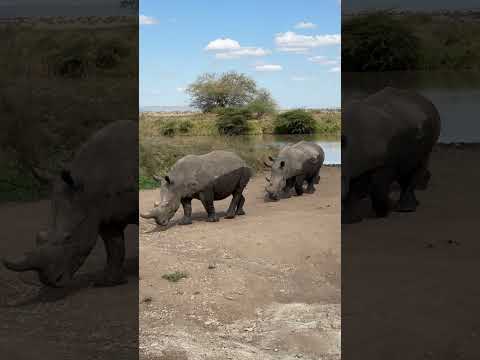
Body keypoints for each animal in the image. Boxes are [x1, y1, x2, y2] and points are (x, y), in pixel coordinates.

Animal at [3, 120, 139, 286]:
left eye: (68, 238)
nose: (51, 282)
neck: (89, 185)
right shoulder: (103, 214)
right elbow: (113, 245)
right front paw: (108, 282)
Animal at [344, 87, 440, 222]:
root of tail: (425, 100)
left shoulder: (383, 162)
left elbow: (378, 187)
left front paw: (383, 212)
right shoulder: (356, 165)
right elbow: (352, 189)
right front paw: (350, 220)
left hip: (427, 135)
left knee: (415, 167)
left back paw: (406, 209)